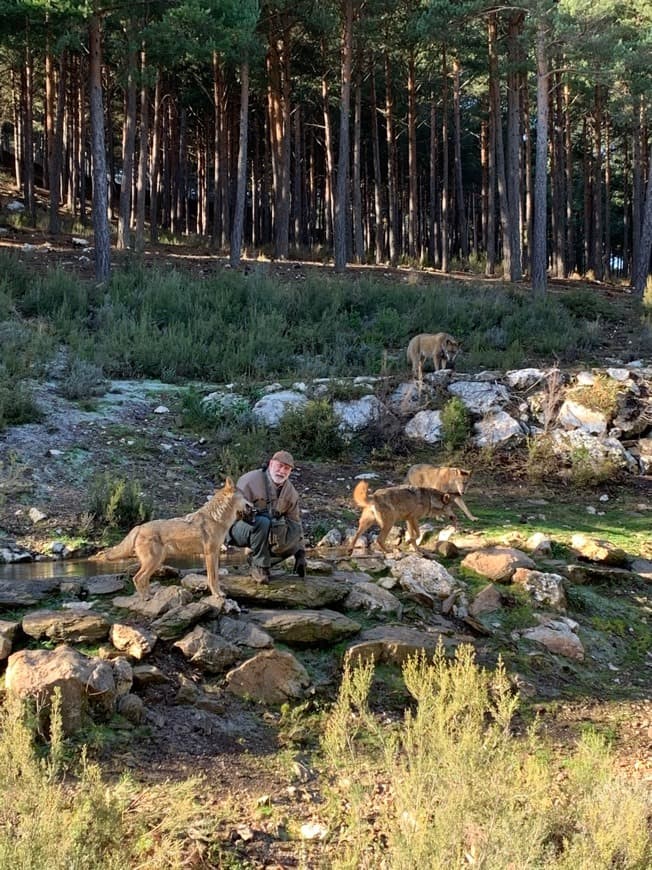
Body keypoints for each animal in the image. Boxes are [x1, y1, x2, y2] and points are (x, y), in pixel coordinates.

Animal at [90, 480, 253, 604]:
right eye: (245, 496)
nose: (254, 505)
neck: (217, 519)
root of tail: (139, 527)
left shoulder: (216, 554)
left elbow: (217, 578)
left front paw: (220, 593)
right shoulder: (210, 554)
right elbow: (211, 578)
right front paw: (217, 595)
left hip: (156, 562)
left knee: (144, 579)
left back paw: (150, 596)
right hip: (153, 561)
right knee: (137, 578)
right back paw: (145, 598)